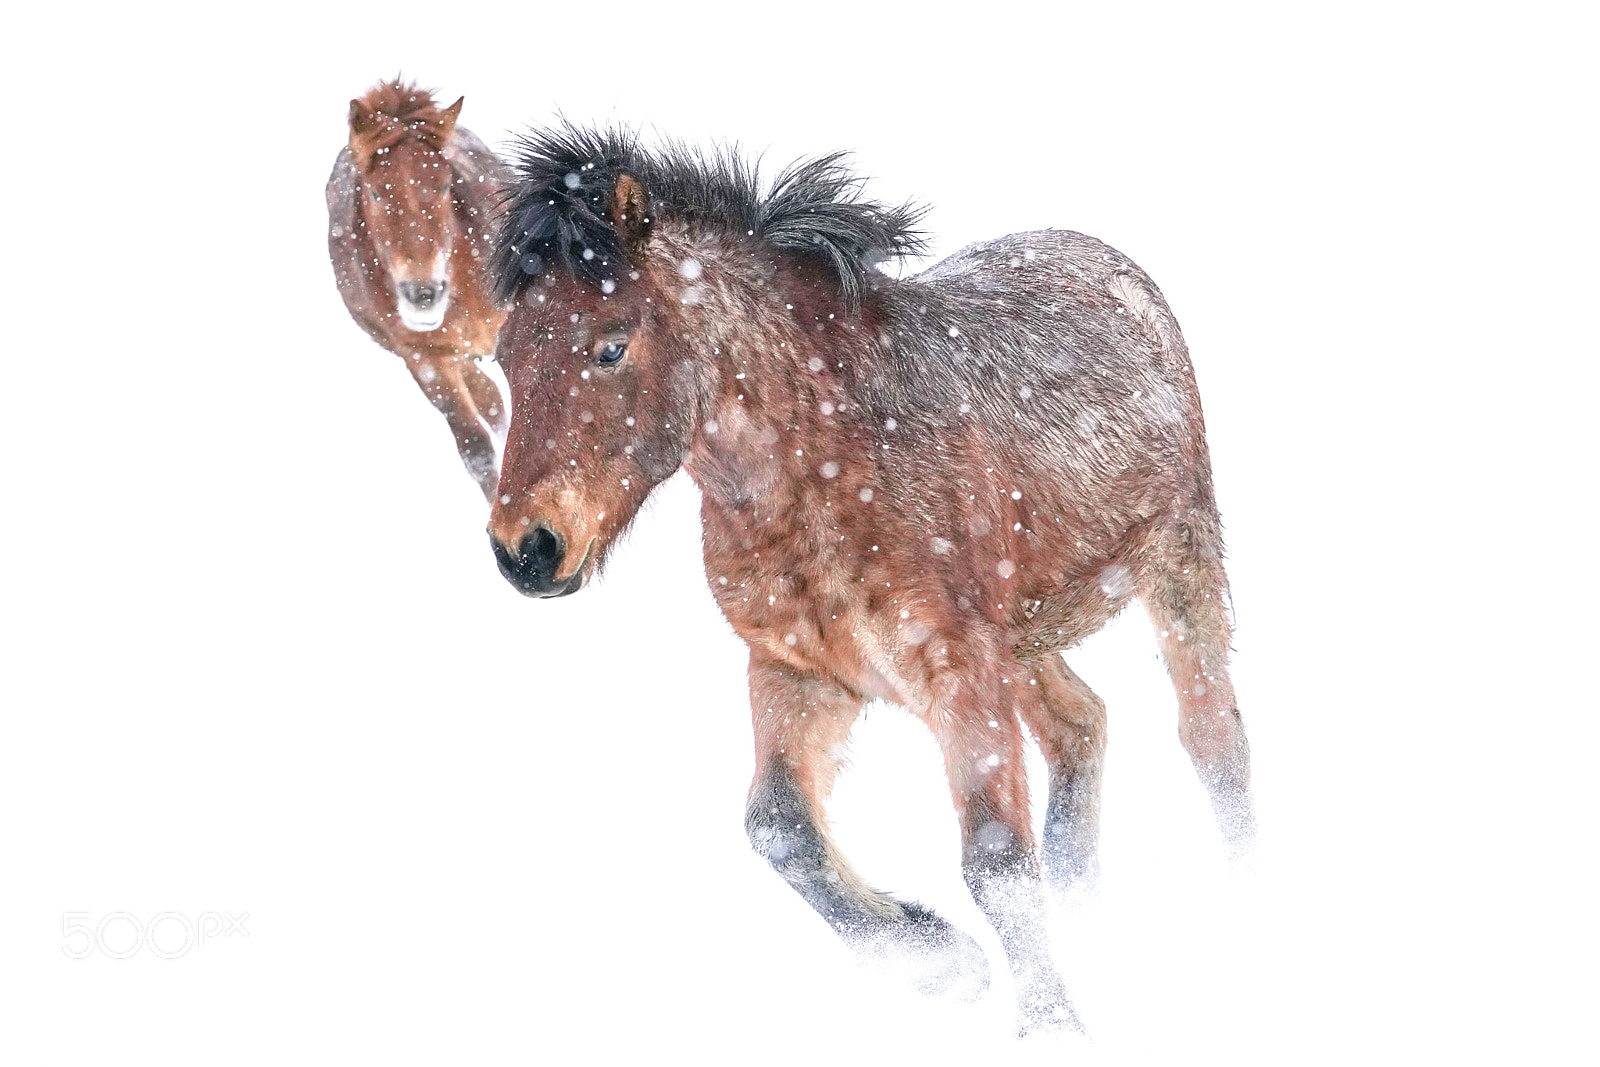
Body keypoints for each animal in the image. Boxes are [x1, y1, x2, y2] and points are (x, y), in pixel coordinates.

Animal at [326, 79, 512, 500]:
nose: (423, 293)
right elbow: (475, 447)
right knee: (492, 404)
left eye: (443, 184)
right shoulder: (424, 359)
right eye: (376, 193)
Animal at [482, 123, 1257, 1036]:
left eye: (610, 343)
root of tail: (1118, 269)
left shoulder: (959, 670)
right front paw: (941, 964)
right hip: (1027, 638)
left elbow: (996, 861)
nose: (525, 549)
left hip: (1178, 562)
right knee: (1083, 727)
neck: (828, 463)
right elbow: (780, 829)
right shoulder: (798, 671)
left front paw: (1048, 1025)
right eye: (502, 355)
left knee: (1216, 744)